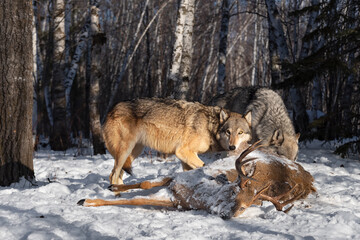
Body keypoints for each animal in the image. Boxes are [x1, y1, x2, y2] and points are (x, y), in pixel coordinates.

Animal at [78, 142, 316, 219]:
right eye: (234, 192)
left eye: (246, 208)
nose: (228, 215)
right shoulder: (179, 177)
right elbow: (146, 183)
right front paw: (112, 187)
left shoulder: (178, 201)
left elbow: (136, 199)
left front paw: (87, 201)